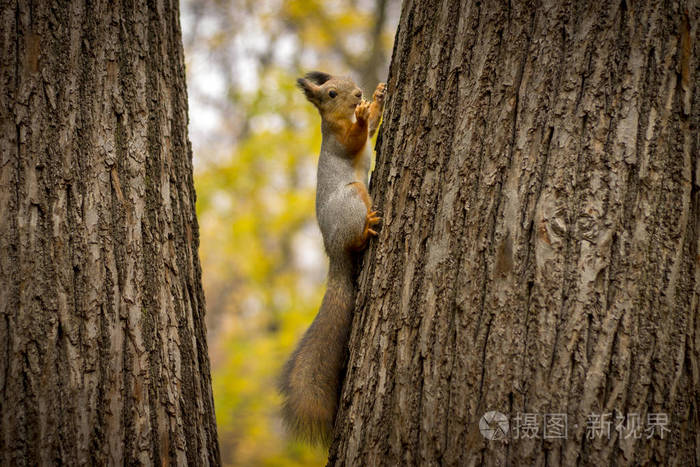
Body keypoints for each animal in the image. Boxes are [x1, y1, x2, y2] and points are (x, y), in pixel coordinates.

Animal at [278, 71, 386, 448]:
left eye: (350, 81)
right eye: (331, 93)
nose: (358, 94)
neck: (337, 118)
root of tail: (334, 252)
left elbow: (370, 132)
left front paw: (377, 98)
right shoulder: (339, 140)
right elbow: (355, 140)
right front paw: (366, 113)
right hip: (354, 197)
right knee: (356, 238)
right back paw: (367, 228)